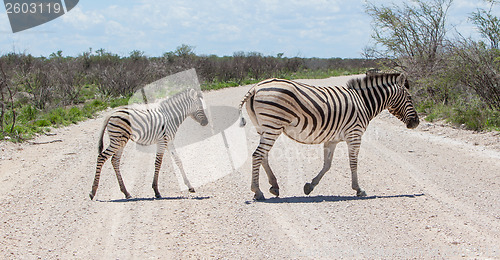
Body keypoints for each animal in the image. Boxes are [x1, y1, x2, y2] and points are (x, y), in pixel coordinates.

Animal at [238, 73, 418, 201]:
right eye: (410, 98)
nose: (416, 122)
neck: (364, 102)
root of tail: (256, 87)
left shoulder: (332, 139)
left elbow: (327, 165)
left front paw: (310, 186)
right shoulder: (354, 134)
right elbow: (353, 163)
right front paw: (358, 189)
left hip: (263, 128)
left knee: (264, 156)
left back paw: (274, 186)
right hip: (273, 125)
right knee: (257, 155)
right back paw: (257, 191)